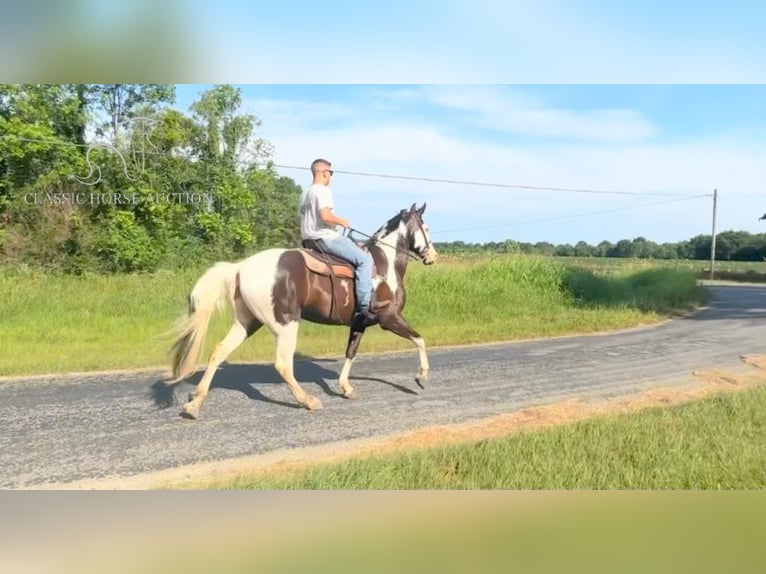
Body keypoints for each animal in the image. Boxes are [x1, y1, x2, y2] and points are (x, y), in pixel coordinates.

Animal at [166, 202, 438, 418]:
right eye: (426, 228)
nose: (432, 256)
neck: (384, 264)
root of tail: (241, 267)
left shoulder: (359, 322)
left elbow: (351, 352)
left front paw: (346, 388)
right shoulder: (389, 318)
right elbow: (420, 339)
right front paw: (421, 377)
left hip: (247, 322)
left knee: (218, 352)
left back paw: (194, 404)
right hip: (286, 325)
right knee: (283, 365)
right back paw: (308, 400)